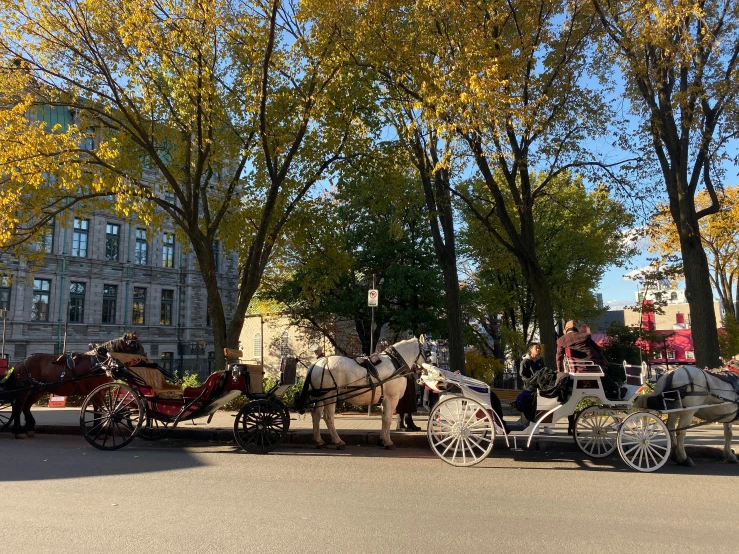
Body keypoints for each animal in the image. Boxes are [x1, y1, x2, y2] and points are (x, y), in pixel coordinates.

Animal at [4, 332, 145, 436]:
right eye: (136, 345)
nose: (146, 358)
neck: (99, 363)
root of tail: (21, 362)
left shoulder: (101, 391)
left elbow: (99, 411)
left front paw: (97, 430)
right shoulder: (96, 392)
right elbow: (98, 411)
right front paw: (97, 430)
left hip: (39, 390)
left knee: (26, 407)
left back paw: (29, 427)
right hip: (24, 390)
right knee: (18, 407)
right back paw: (18, 430)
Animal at [296, 336, 428, 448]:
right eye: (428, 351)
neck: (396, 363)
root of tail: (319, 362)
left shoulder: (384, 399)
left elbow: (383, 418)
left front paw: (382, 440)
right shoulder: (392, 398)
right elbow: (388, 419)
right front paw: (388, 442)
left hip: (321, 396)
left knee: (316, 415)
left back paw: (319, 441)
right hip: (330, 396)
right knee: (328, 417)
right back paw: (338, 441)